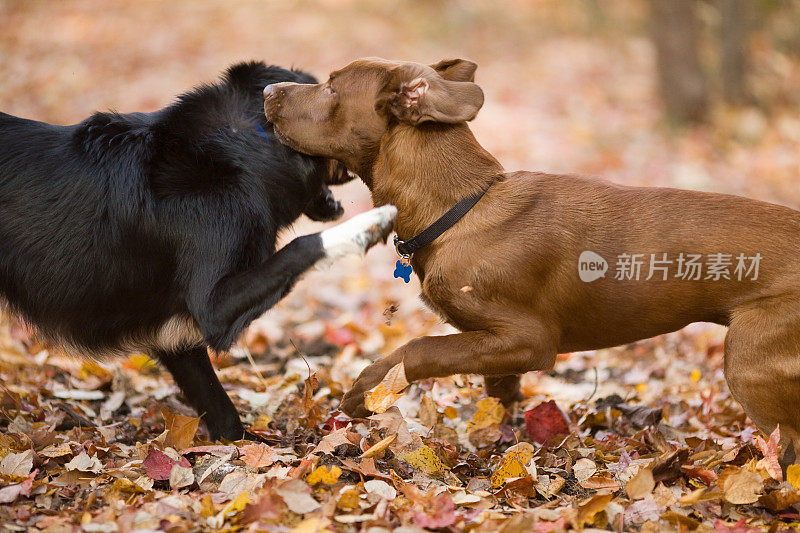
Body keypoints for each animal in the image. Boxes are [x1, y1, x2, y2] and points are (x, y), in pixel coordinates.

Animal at [0, 61, 394, 440]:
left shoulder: (175, 336)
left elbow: (221, 412)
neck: (244, 145)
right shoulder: (211, 305)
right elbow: (301, 247)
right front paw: (367, 226)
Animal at [266, 57, 800, 466]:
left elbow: (420, 348)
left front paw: (364, 391)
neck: (460, 209)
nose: (269, 89)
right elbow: (497, 391)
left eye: (332, 87)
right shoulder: (497, 346)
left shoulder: (530, 338)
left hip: (748, 358)